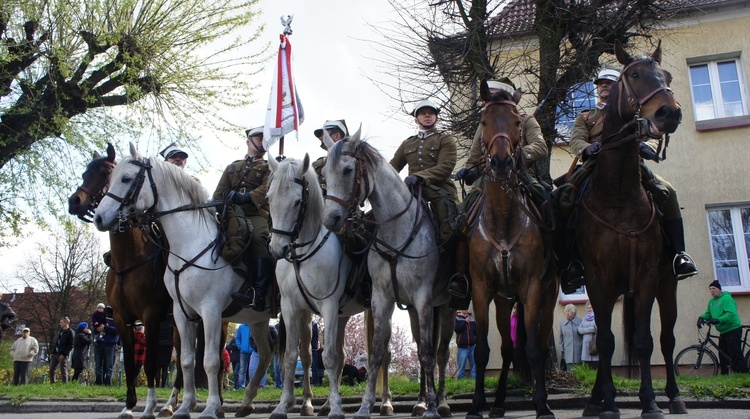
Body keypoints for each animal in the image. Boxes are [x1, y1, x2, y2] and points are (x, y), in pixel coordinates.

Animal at [91, 143, 274, 418]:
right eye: (109, 178)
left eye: (125, 179)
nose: (99, 217)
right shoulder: (179, 312)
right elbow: (186, 361)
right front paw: (185, 406)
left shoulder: (207, 311)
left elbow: (209, 361)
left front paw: (209, 408)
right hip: (257, 319)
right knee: (266, 354)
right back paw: (247, 403)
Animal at [268, 154, 382, 419]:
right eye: (269, 198)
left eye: (297, 202)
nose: (277, 249)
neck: (302, 255)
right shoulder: (291, 309)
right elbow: (291, 356)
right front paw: (283, 405)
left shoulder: (328, 306)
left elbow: (328, 357)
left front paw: (338, 409)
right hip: (342, 316)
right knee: (342, 356)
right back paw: (328, 403)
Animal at [322, 131, 456, 419]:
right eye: (324, 173)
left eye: (348, 170)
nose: (330, 220)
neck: (397, 230)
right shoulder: (382, 298)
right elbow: (376, 353)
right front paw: (365, 406)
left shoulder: (423, 298)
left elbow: (428, 354)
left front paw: (432, 409)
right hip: (416, 312)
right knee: (422, 350)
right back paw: (419, 402)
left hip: (445, 308)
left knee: (440, 353)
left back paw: (440, 402)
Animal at [468, 82, 560, 419]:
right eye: (484, 122)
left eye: (517, 122)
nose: (501, 162)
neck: (504, 220)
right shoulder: (482, 290)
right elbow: (482, 351)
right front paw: (477, 404)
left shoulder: (532, 288)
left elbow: (533, 349)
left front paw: (541, 405)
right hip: (504, 300)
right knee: (507, 349)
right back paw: (497, 403)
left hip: (546, 296)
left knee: (541, 346)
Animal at [576, 41, 692, 418]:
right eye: (636, 74)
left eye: (667, 76)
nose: (669, 113)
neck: (618, 194)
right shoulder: (597, 280)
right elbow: (605, 342)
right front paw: (608, 403)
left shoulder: (645, 277)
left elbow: (644, 341)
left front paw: (650, 402)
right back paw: (596, 399)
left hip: (667, 285)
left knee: (668, 340)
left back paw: (674, 397)